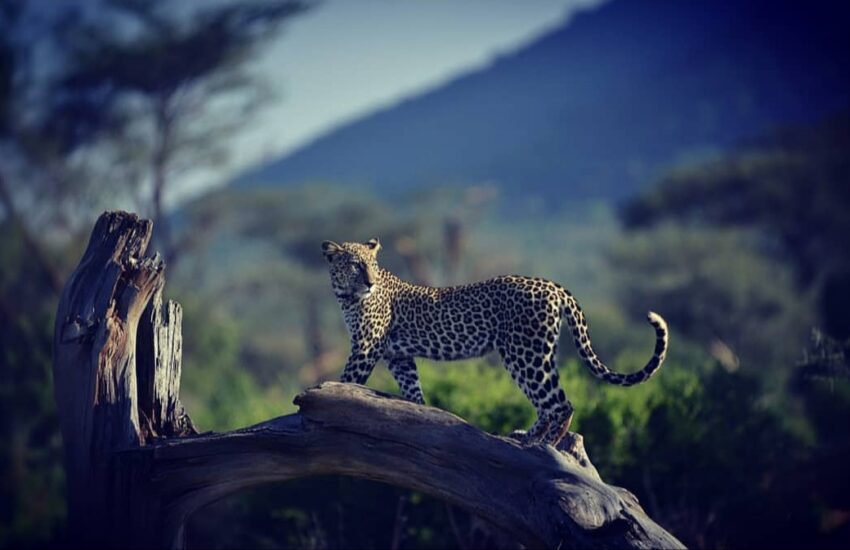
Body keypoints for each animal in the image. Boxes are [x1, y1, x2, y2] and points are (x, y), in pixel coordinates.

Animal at [322, 238, 669, 446]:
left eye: (372, 265)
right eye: (355, 264)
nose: (370, 282)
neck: (346, 297)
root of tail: (553, 286)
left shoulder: (366, 346)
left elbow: (347, 380)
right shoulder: (399, 356)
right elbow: (413, 390)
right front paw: (420, 413)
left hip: (524, 353)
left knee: (560, 403)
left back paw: (545, 445)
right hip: (535, 352)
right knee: (547, 403)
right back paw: (525, 437)